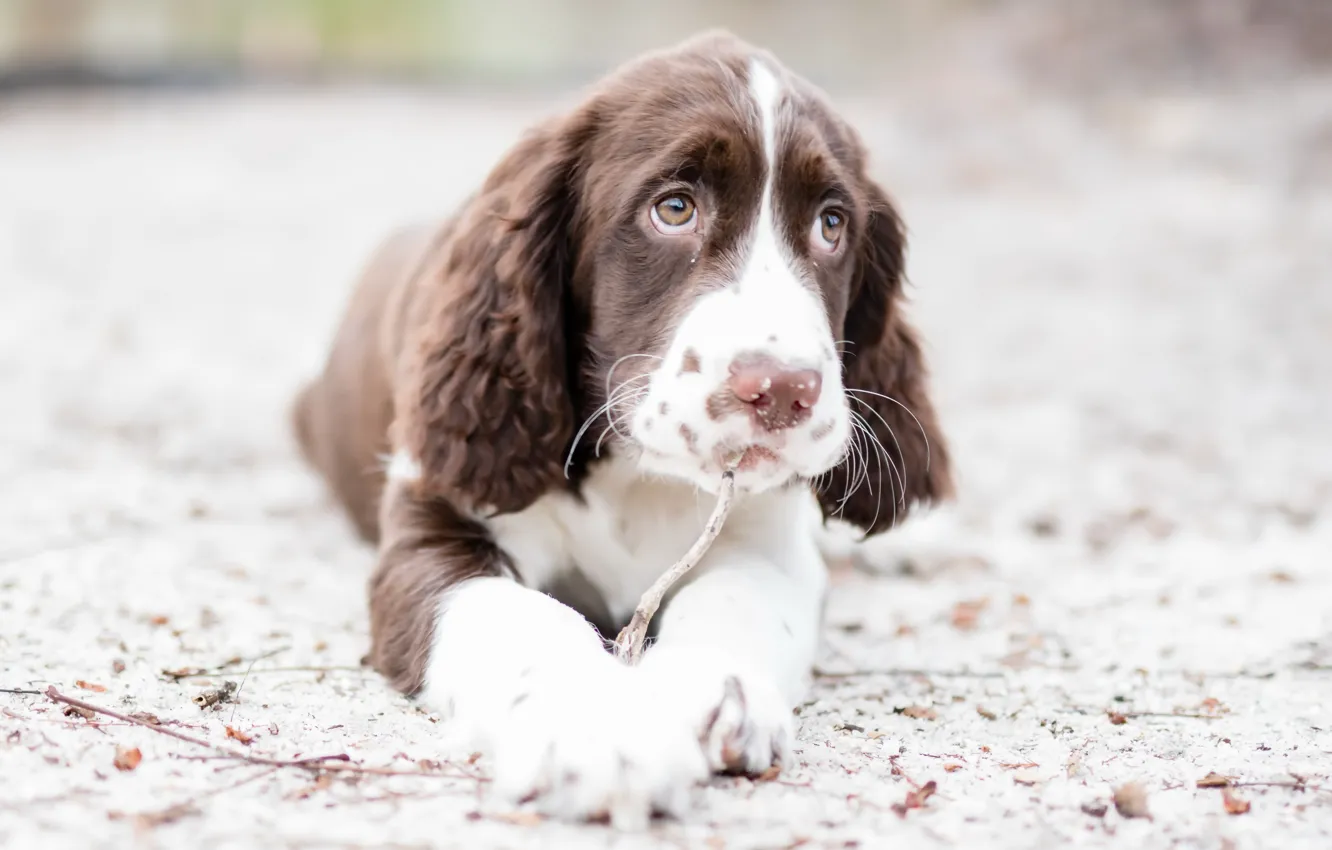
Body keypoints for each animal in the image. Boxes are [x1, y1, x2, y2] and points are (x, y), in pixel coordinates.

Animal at [297, 31, 953, 826]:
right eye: (673, 209)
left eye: (832, 226)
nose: (784, 391)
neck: (639, 472)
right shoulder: (435, 522)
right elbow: (520, 614)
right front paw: (601, 734)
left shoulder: (768, 538)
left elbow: (740, 596)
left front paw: (710, 692)